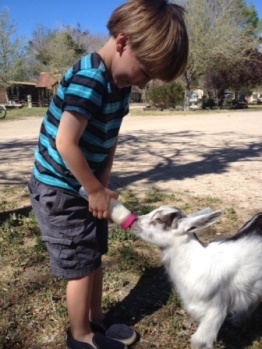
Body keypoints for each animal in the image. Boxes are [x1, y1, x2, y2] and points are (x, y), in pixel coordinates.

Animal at [132, 207, 262, 348]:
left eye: (159, 219)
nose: (133, 221)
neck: (195, 263)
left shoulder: (216, 310)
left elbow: (199, 341)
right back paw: (237, 321)